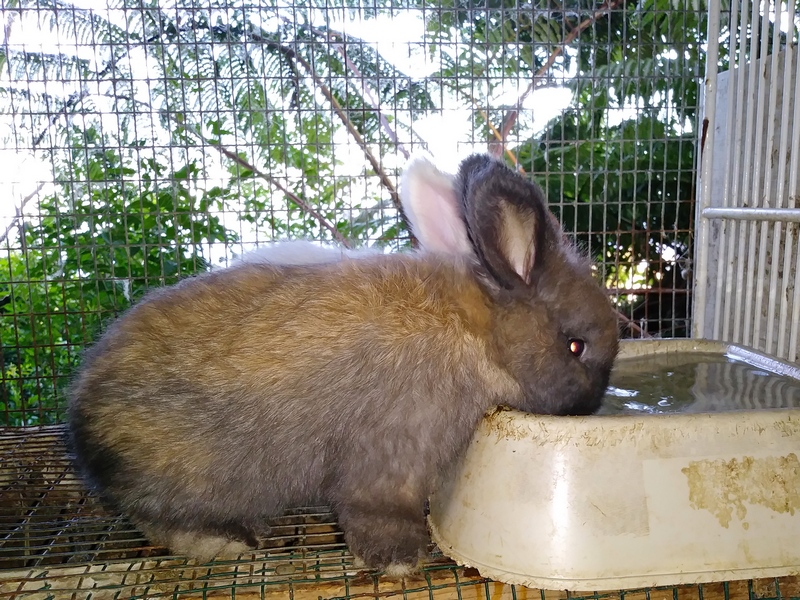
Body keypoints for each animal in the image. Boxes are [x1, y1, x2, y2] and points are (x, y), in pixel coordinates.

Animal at [69, 152, 620, 576]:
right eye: (576, 347)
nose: (591, 404)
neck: (475, 335)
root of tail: (81, 421)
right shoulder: (389, 459)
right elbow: (378, 513)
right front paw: (398, 562)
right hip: (193, 474)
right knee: (160, 517)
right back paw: (222, 541)